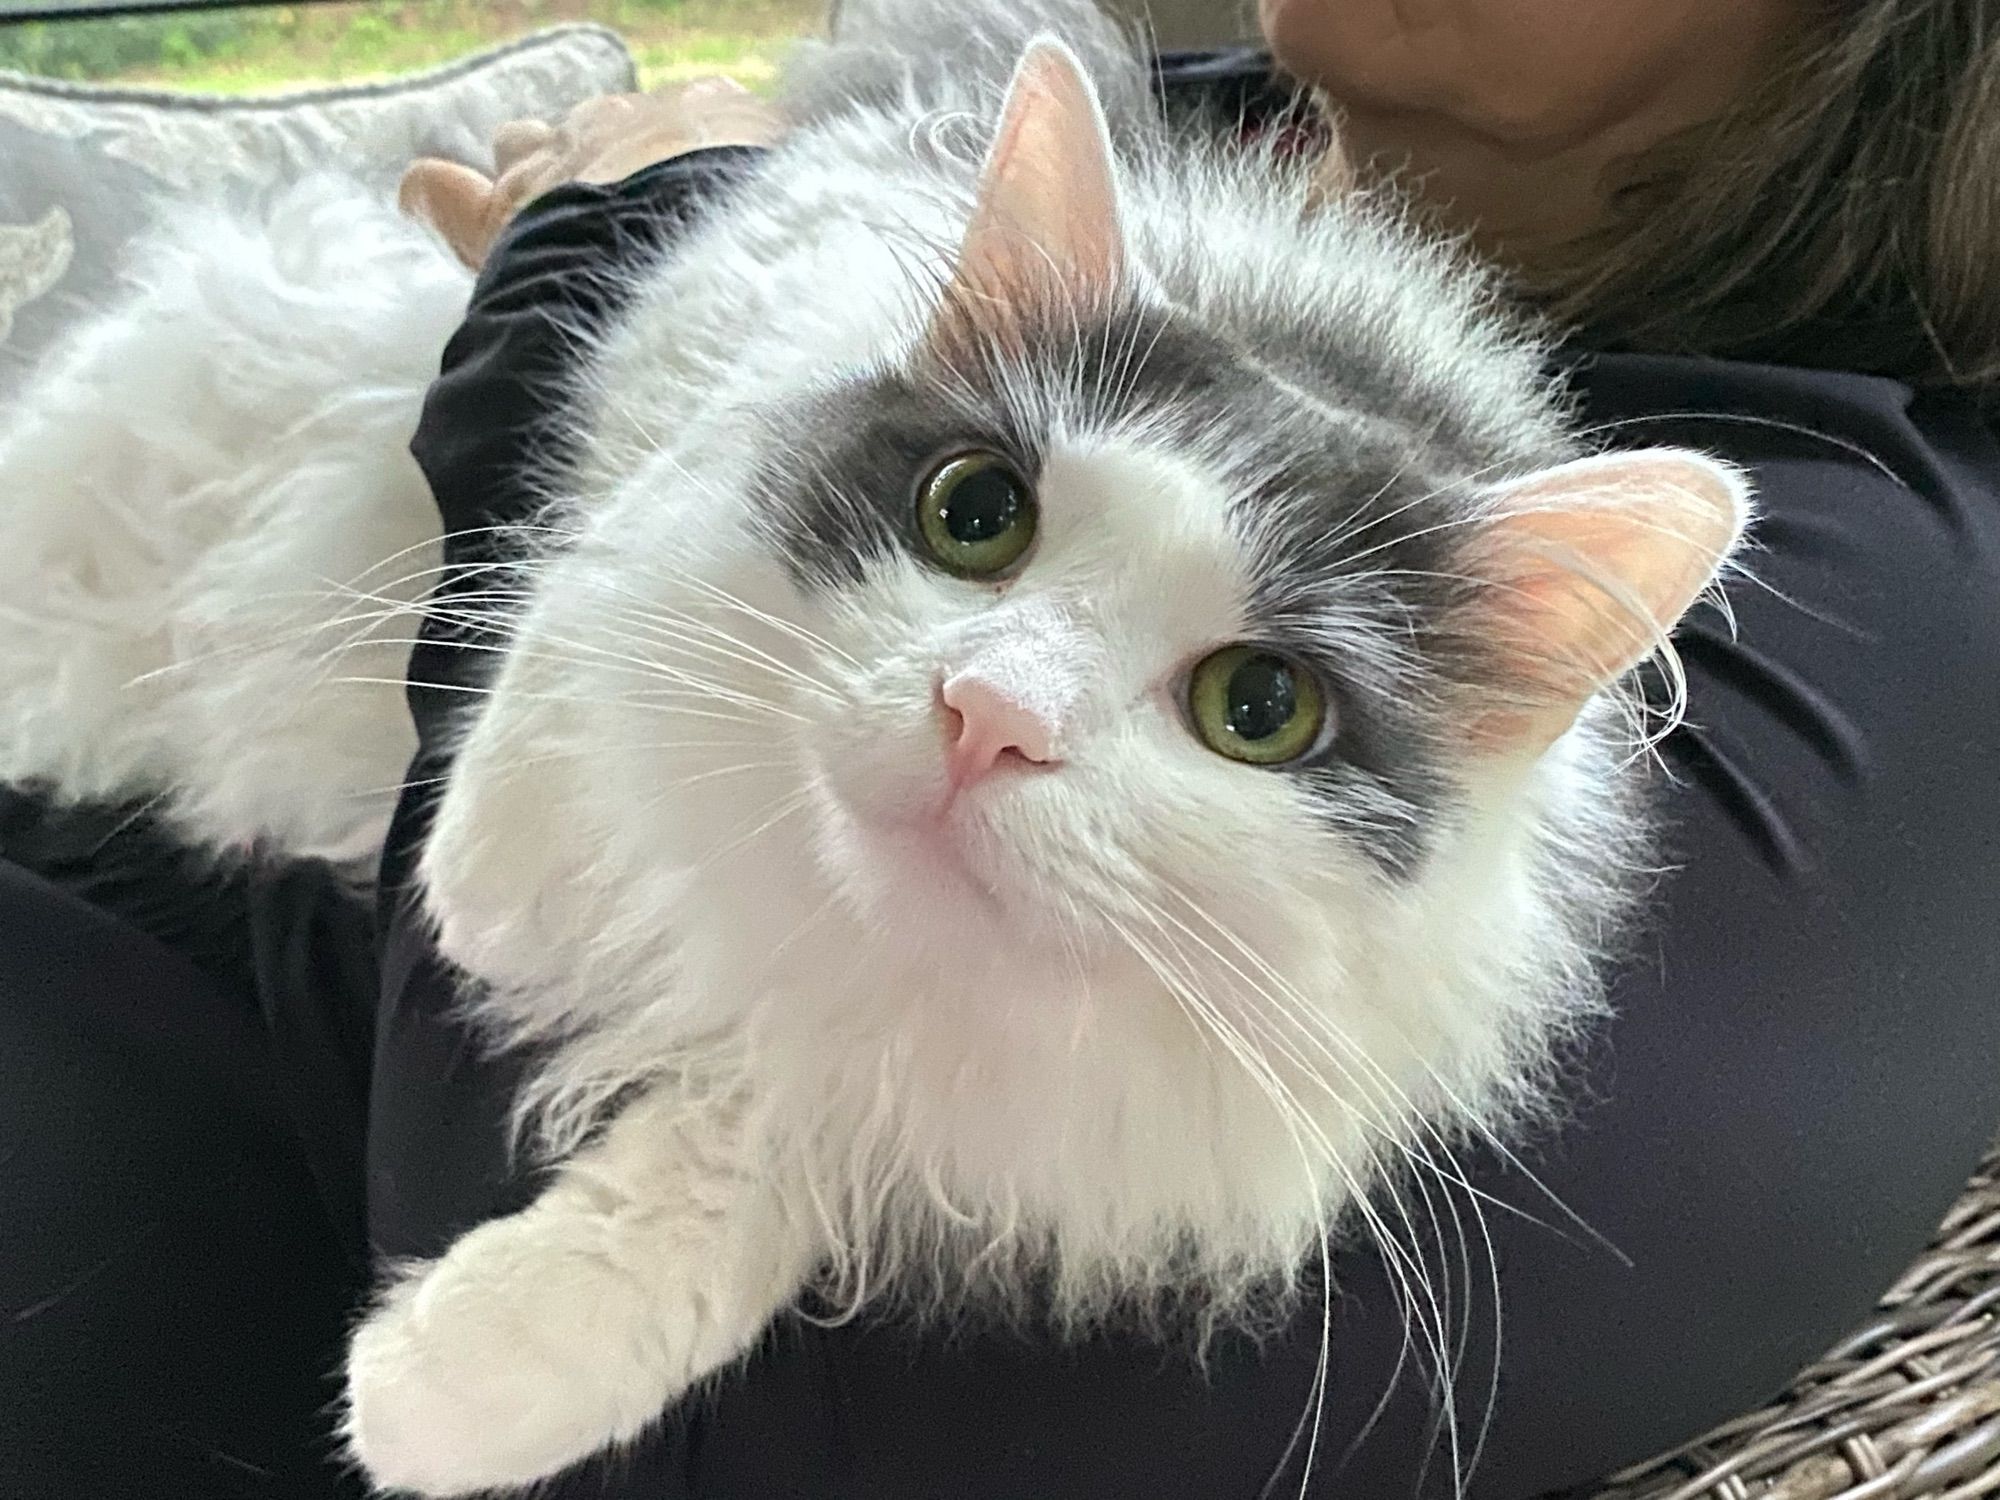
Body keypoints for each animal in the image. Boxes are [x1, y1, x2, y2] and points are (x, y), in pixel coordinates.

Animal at [0, 2, 1752, 1500]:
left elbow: (749, 1168)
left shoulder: (920, 1108)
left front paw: (457, 1386)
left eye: (1261, 710)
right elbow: (576, 642)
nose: (991, 718)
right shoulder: (724, 364)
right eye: (975, 516)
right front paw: (506, 896)